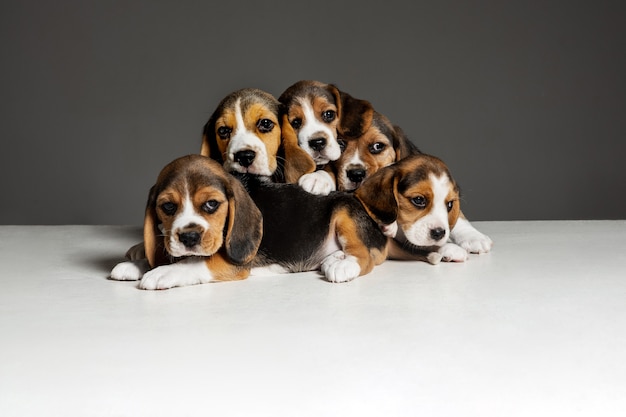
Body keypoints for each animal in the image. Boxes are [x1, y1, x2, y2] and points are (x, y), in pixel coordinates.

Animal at [109, 154, 260, 290]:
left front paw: (164, 271)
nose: (189, 237)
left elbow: (200, 260)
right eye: (168, 206)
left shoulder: (240, 261)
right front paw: (136, 264)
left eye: (211, 203)